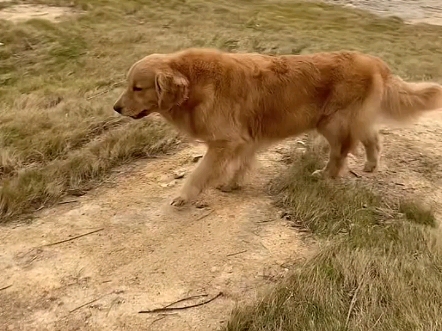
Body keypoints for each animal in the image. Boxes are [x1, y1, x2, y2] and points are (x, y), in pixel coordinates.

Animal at [113, 48, 442, 206]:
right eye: (129, 85)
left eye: (137, 87)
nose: (116, 108)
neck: (195, 84)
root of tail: (376, 61)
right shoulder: (244, 139)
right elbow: (240, 165)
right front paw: (232, 184)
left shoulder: (224, 141)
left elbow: (199, 173)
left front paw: (185, 196)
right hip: (345, 120)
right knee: (371, 136)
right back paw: (372, 165)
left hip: (332, 122)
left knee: (340, 154)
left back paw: (326, 176)